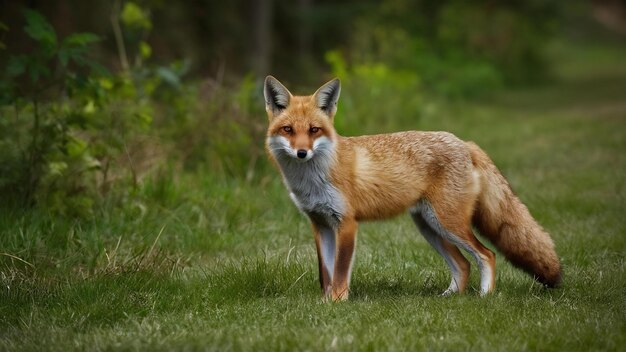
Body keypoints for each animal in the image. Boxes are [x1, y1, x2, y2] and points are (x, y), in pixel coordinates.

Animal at [262, 75, 560, 302]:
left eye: (314, 130)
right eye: (288, 130)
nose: (302, 153)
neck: (313, 180)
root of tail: (465, 142)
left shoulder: (346, 223)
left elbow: (340, 271)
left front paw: (337, 302)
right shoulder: (320, 224)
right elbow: (325, 272)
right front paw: (324, 302)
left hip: (448, 223)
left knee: (487, 254)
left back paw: (484, 297)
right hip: (429, 226)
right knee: (463, 264)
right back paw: (450, 297)